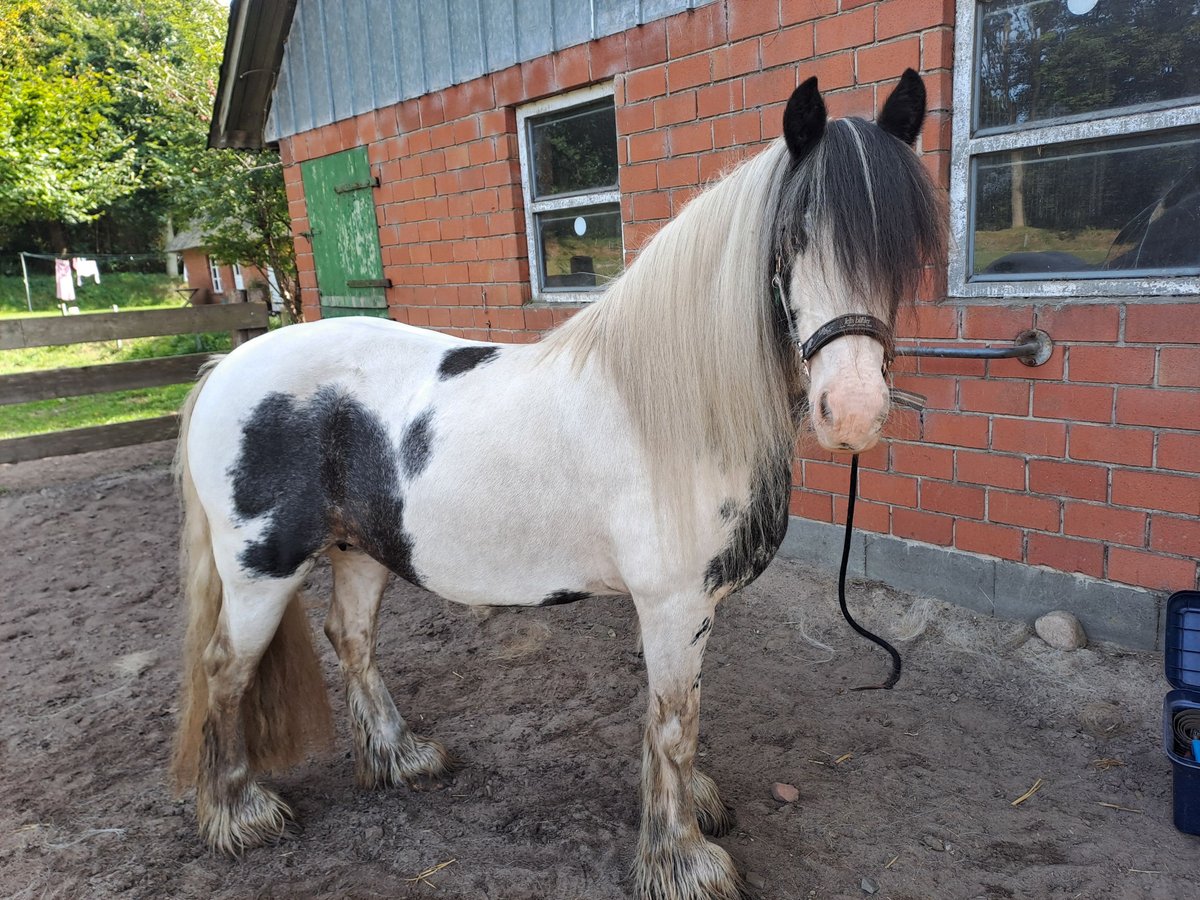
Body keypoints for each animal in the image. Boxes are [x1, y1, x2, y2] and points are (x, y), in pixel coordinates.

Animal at [169, 70, 945, 900]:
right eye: (792, 236)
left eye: (903, 248)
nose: (854, 412)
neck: (676, 405)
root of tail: (227, 367)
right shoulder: (673, 604)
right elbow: (676, 722)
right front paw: (682, 860)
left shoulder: (691, 610)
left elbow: (679, 713)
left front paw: (692, 810)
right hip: (261, 570)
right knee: (224, 670)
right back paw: (239, 812)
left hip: (360, 550)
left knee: (350, 638)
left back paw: (399, 759)